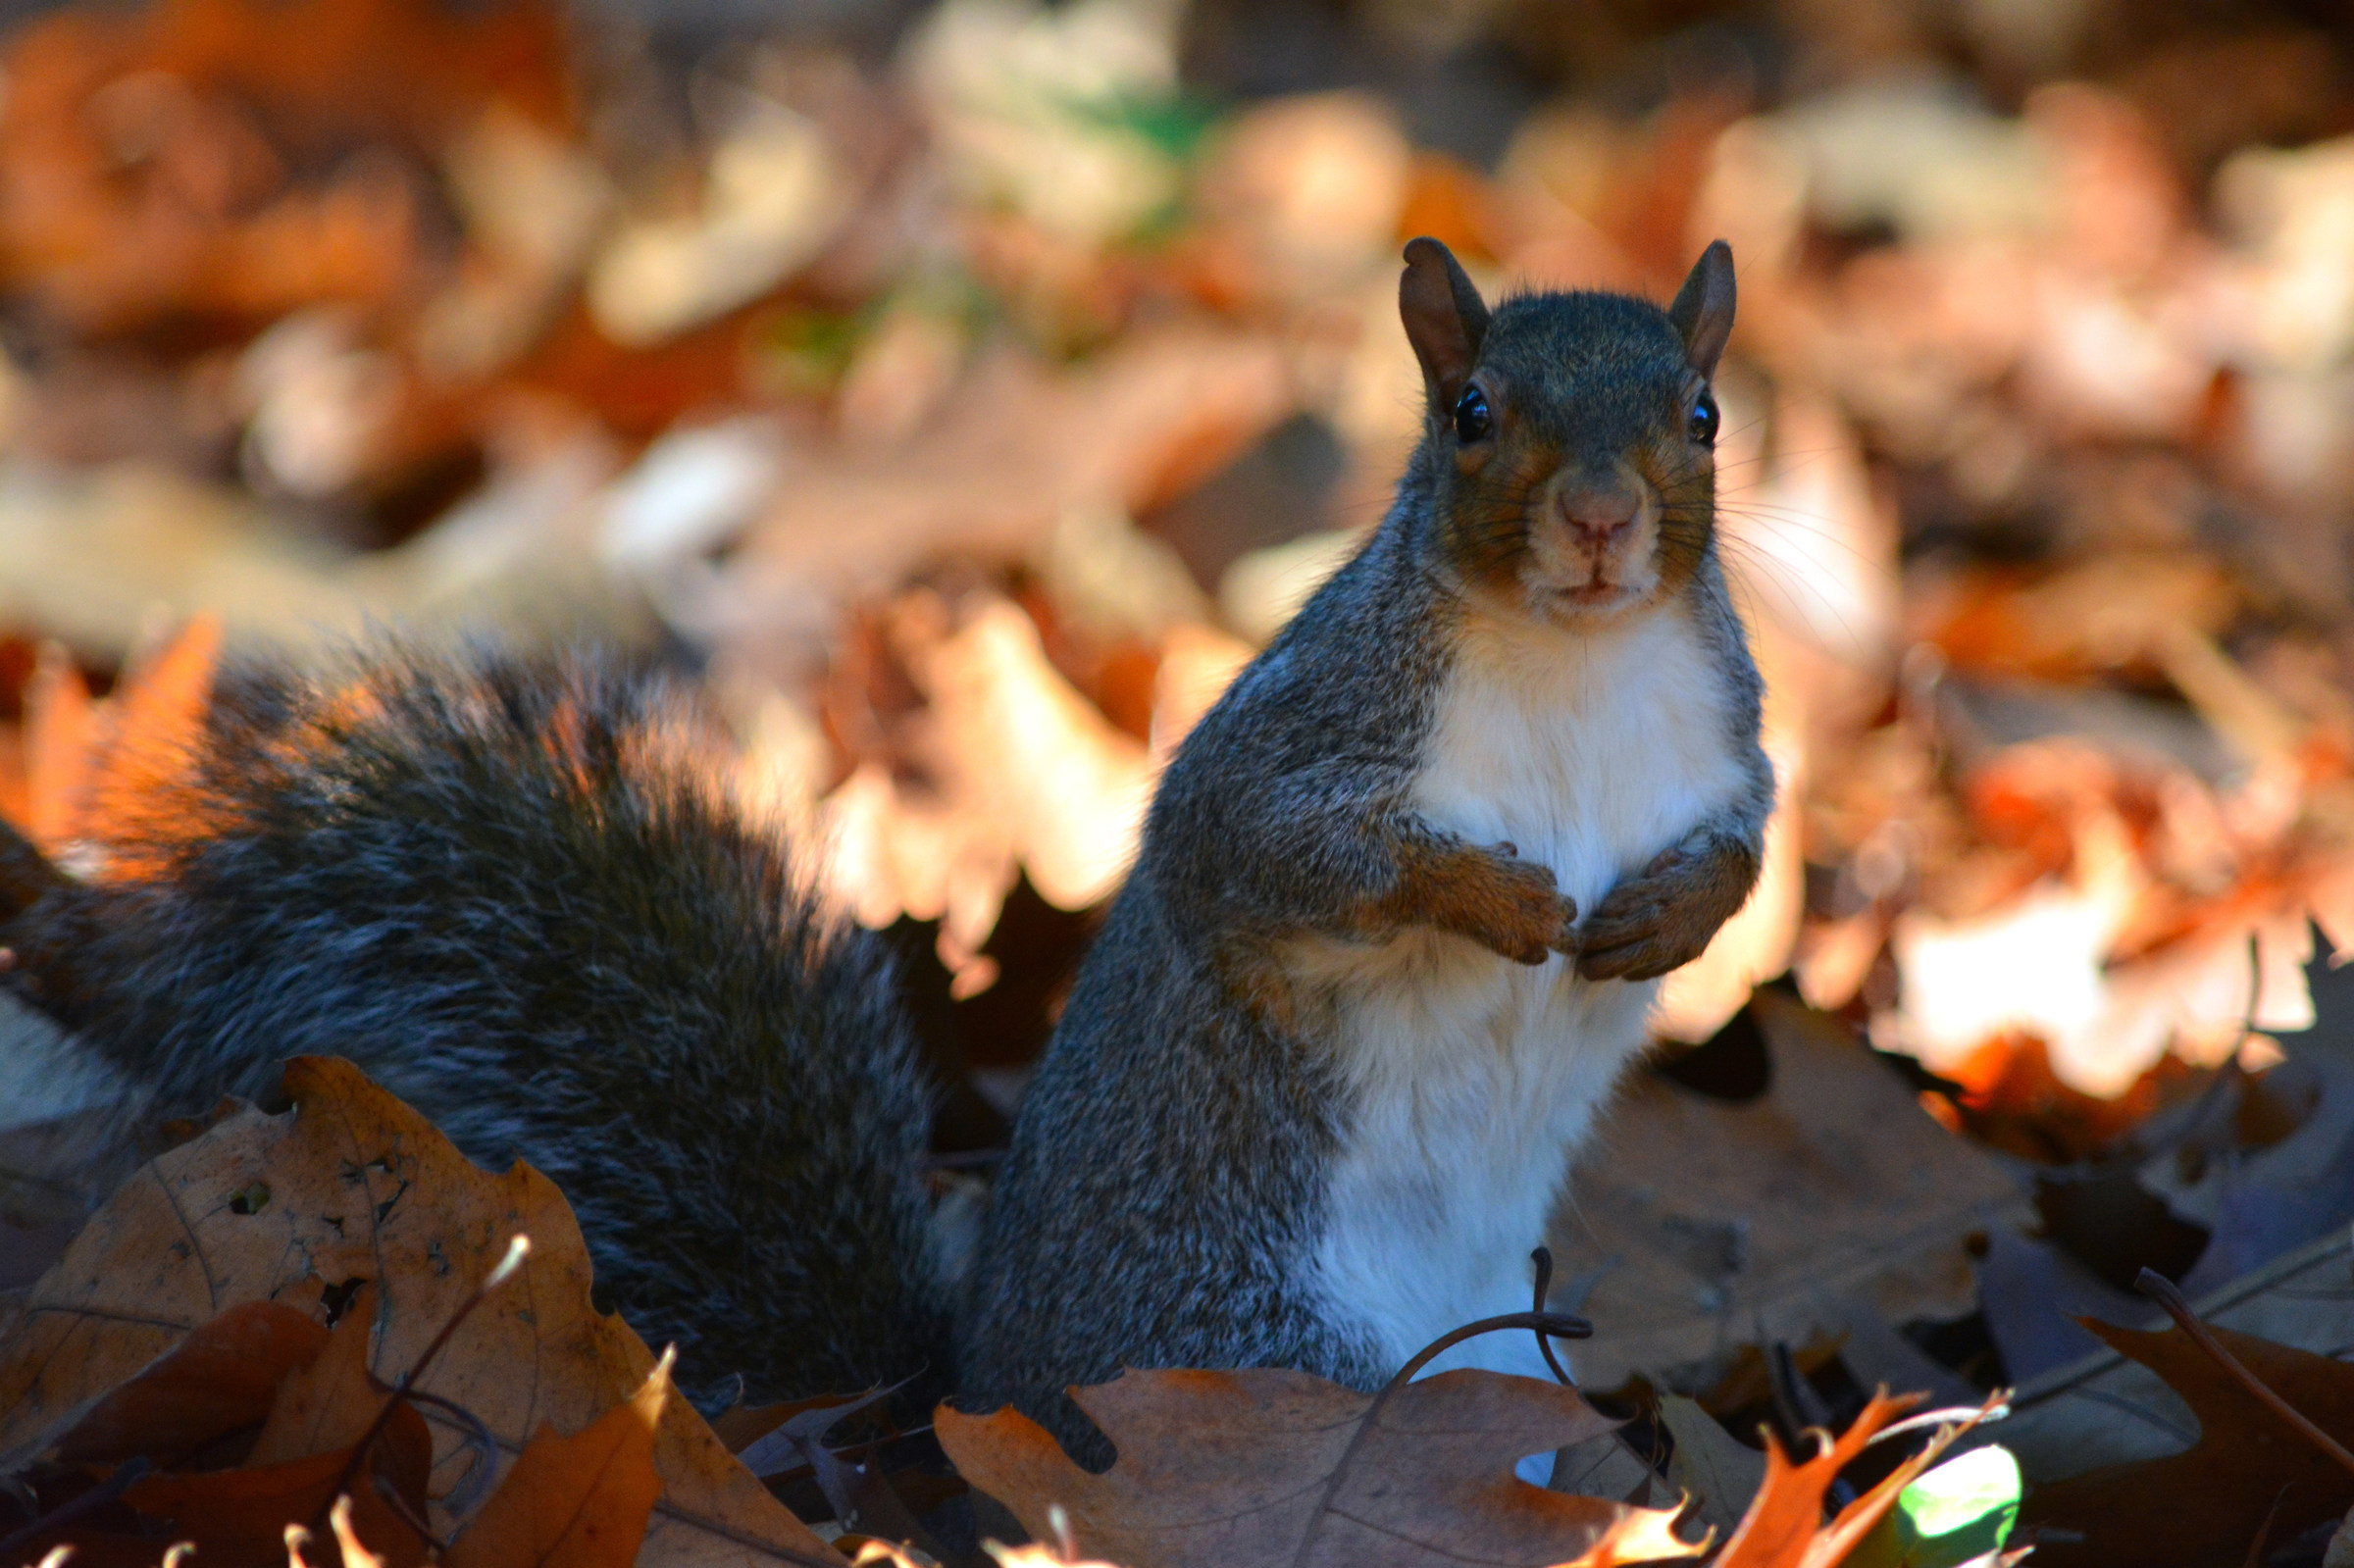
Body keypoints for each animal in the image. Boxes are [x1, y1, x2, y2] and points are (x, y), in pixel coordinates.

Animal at [0, 237, 1768, 1460]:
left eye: (1702, 413)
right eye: (1472, 414)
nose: (1601, 520)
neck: (1572, 666)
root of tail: (973, 1381)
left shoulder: (1728, 746)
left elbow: (1747, 853)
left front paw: (1665, 916)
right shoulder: (1301, 743)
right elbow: (1270, 858)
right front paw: (1495, 893)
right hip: (1283, 1352)